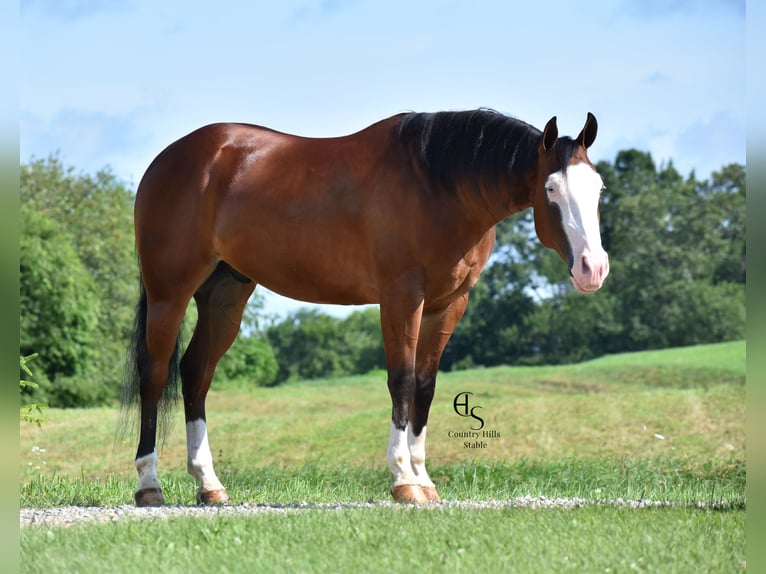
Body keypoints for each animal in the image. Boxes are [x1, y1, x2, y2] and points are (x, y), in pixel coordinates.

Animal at [122, 109, 609, 506]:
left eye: (599, 187)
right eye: (551, 188)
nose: (593, 268)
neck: (437, 184)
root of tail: (170, 158)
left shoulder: (448, 305)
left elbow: (426, 388)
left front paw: (424, 480)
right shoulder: (401, 298)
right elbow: (402, 382)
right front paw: (403, 481)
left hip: (225, 293)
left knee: (195, 373)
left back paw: (210, 486)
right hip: (169, 292)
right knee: (156, 374)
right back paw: (149, 486)